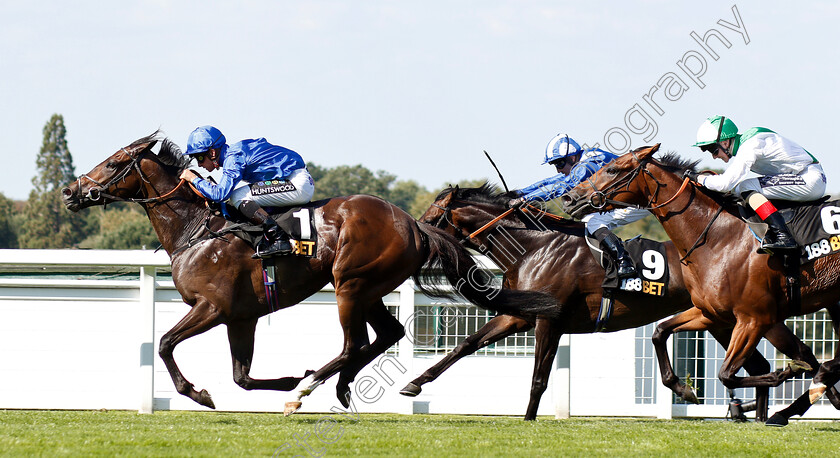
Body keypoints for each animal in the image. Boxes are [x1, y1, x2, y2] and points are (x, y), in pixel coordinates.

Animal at [60, 133, 564, 416]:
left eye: (112, 163)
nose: (69, 190)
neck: (197, 229)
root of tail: (412, 223)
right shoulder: (240, 316)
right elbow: (242, 376)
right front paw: (282, 380)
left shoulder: (212, 308)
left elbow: (165, 343)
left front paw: (199, 393)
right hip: (369, 288)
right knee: (386, 333)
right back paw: (331, 386)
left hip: (350, 284)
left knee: (354, 343)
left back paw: (307, 389)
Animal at [400, 184, 832, 420]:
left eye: (434, 214)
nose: (416, 232)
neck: (533, 246)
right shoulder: (519, 315)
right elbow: (466, 344)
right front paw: (414, 385)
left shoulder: (549, 320)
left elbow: (539, 377)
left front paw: (528, 419)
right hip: (725, 322)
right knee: (765, 364)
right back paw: (759, 414)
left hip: (744, 320)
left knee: (799, 358)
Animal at [556, 144, 840, 426]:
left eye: (612, 169)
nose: (569, 198)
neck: (718, 237)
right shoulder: (711, 313)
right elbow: (660, 332)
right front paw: (683, 389)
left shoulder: (754, 318)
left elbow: (727, 374)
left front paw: (788, 372)